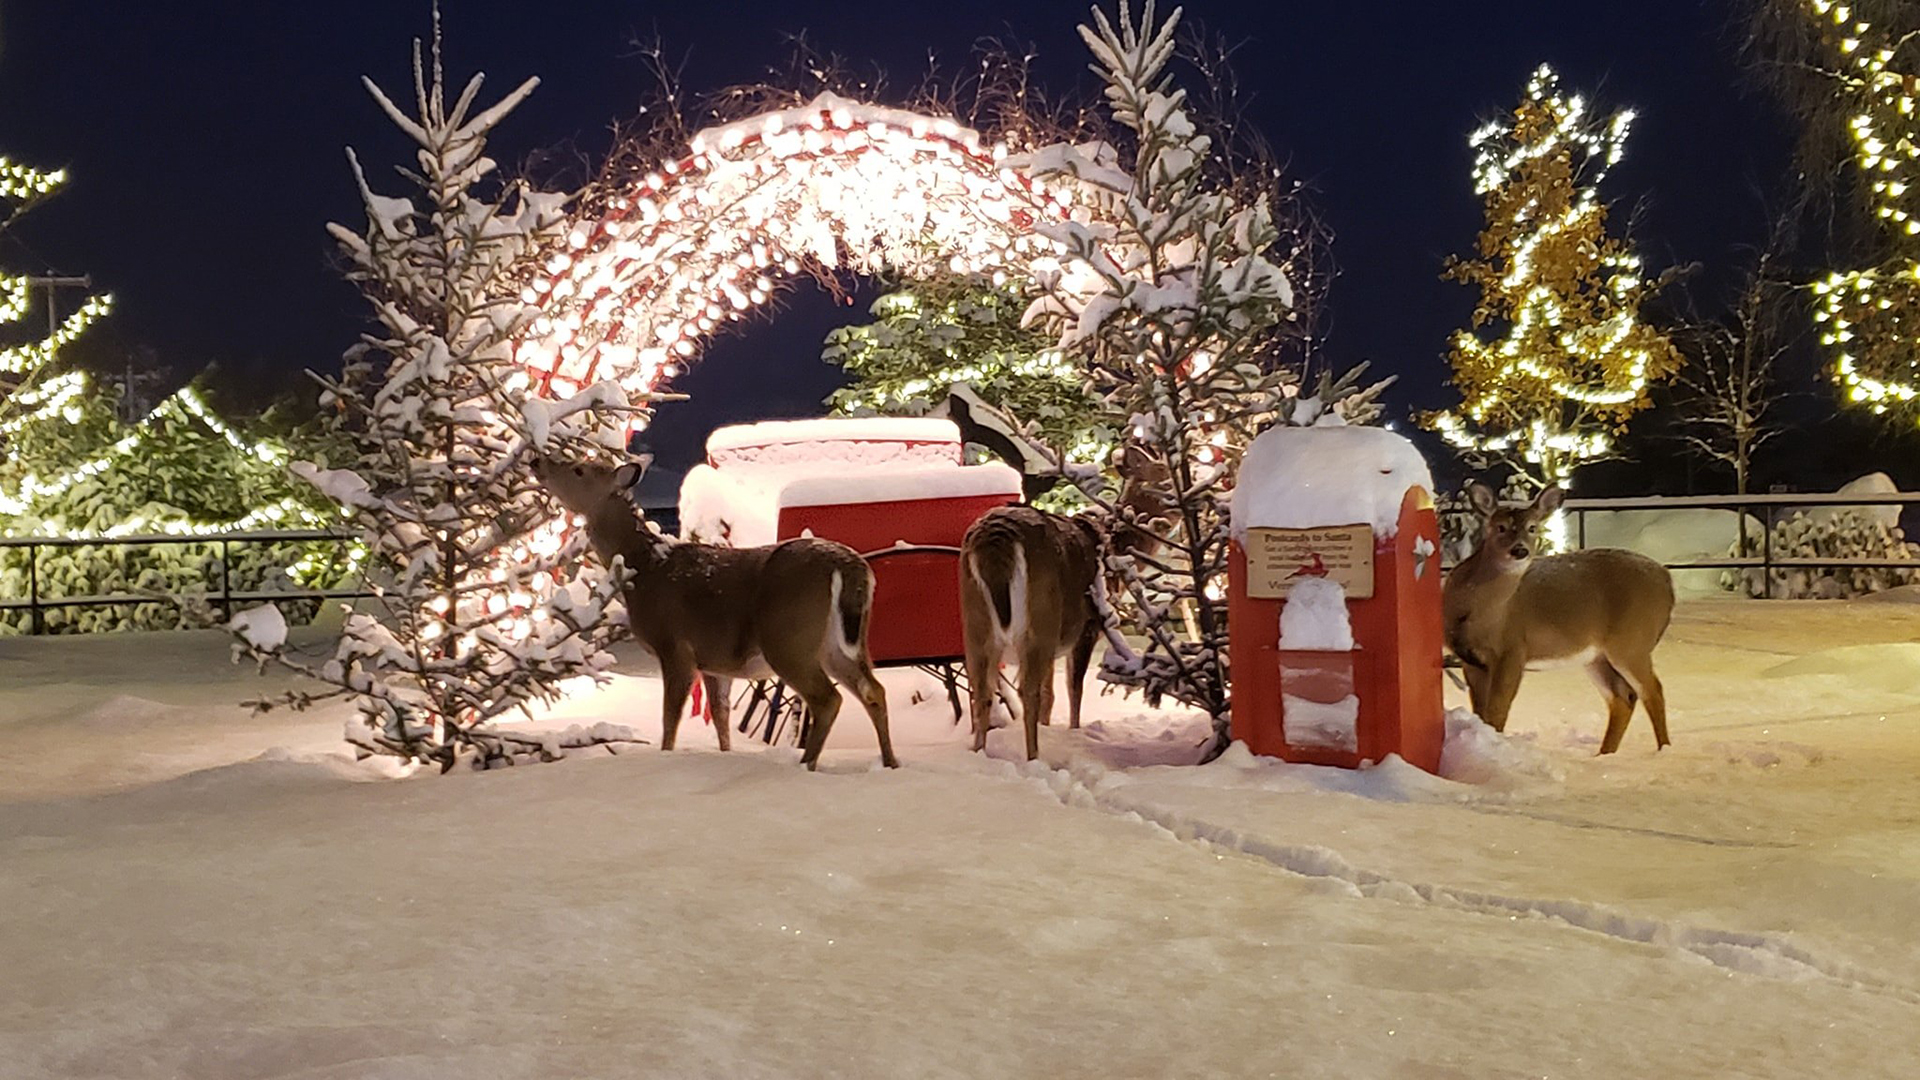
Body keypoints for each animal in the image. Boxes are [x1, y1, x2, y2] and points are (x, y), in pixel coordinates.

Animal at [529, 451, 894, 764]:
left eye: (579, 469)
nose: (536, 461)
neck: (645, 567)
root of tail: (848, 567)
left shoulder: (675, 647)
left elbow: (670, 720)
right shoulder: (714, 662)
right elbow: (721, 718)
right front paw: (725, 756)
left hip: (788, 639)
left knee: (829, 699)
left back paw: (807, 763)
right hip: (842, 643)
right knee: (874, 690)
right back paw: (890, 762)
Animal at [1443, 484, 1674, 753]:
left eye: (1532, 527)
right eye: (1500, 527)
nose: (1520, 550)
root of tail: (1668, 581)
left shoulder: (1514, 650)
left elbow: (1498, 710)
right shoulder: (1470, 659)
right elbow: (1480, 711)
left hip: (1632, 641)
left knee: (1652, 690)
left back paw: (1663, 749)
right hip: (1596, 656)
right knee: (1623, 696)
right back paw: (1604, 754)